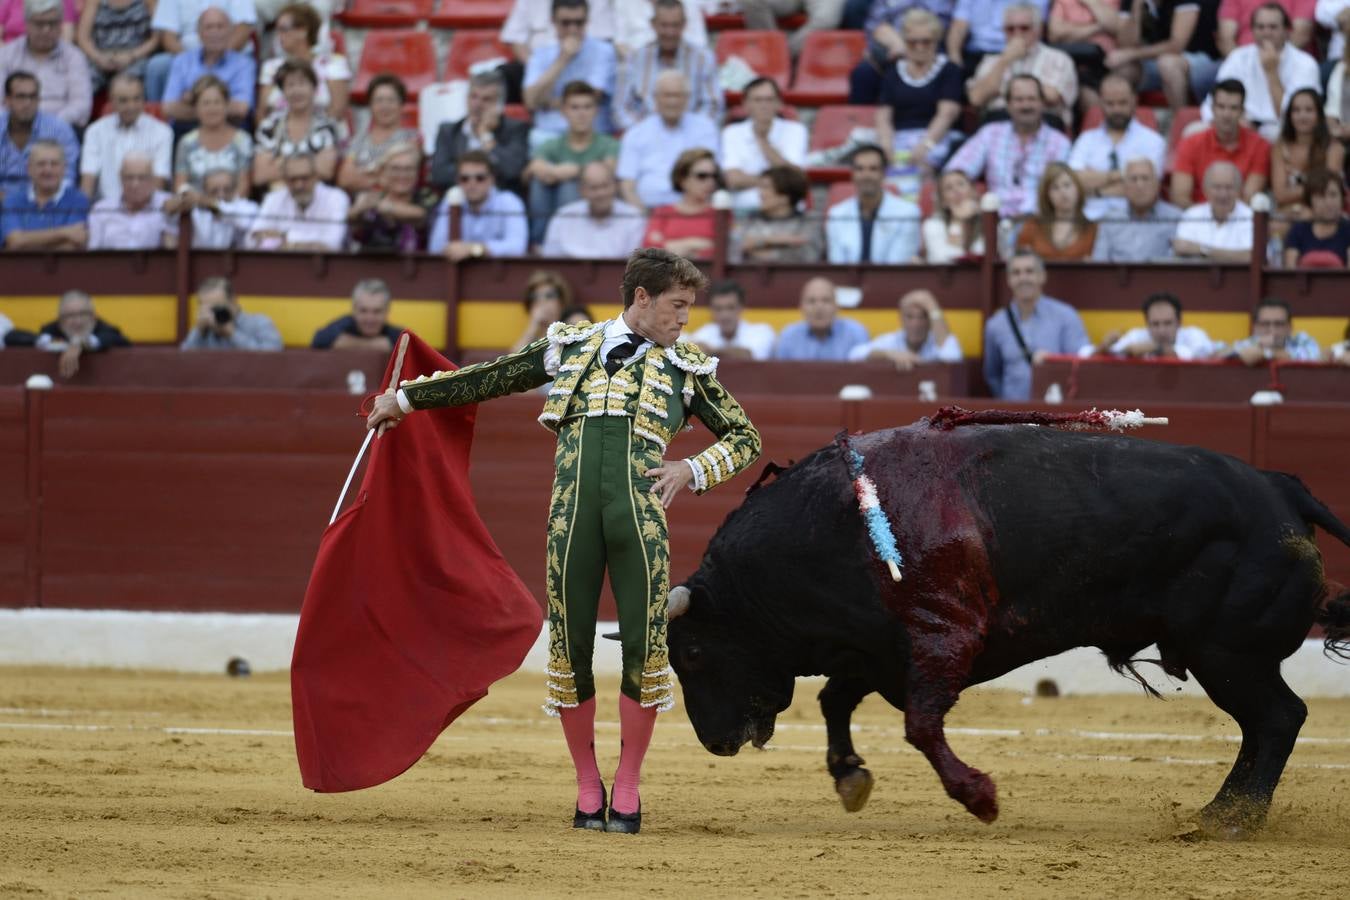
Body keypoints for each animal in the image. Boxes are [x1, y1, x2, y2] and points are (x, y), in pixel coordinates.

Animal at [666, 418, 1350, 836]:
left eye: (693, 654)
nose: (715, 743)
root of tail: (1281, 489)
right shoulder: (879, 648)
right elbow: (836, 699)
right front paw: (851, 778)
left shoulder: (941, 641)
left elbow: (919, 725)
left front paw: (980, 797)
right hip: (1225, 657)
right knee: (1262, 727)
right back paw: (1217, 813)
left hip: (1227, 653)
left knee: (1279, 719)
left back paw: (1237, 819)